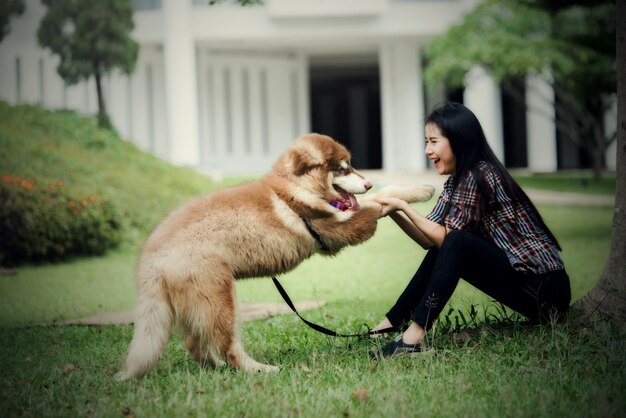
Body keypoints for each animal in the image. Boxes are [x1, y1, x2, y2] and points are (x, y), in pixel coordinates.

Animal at [114, 134, 432, 378]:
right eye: (342, 169)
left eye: (351, 165)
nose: (367, 183)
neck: (295, 188)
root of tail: (151, 255)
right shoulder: (337, 230)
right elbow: (378, 204)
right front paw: (405, 196)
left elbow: (380, 196)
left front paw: (420, 189)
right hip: (218, 297)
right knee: (227, 346)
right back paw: (258, 370)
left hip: (193, 301)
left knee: (195, 343)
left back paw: (215, 368)